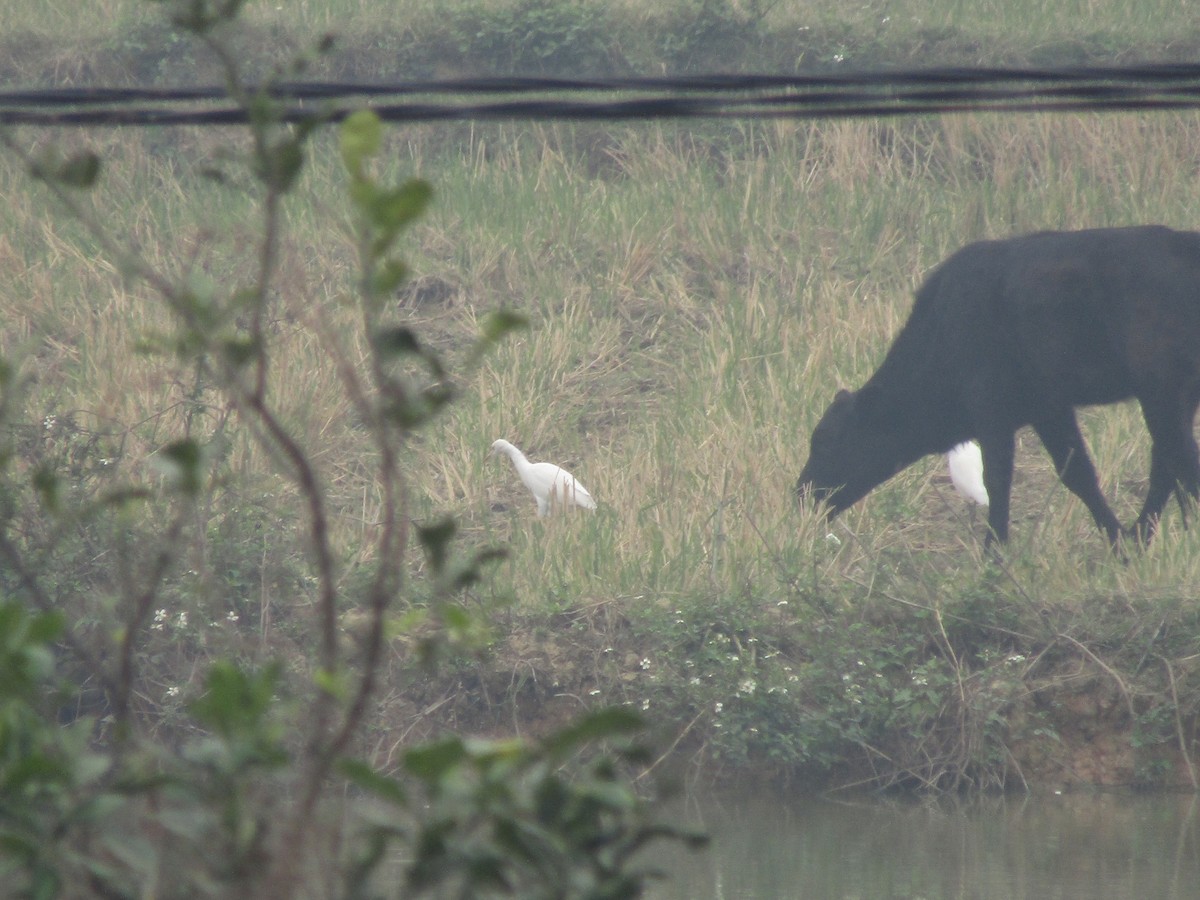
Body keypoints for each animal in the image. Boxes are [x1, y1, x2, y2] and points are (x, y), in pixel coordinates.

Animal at [795, 225, 1200, 548]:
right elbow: (1078, 474)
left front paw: (994, 552)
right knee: (1168, 463)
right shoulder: (1049, 409)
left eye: (825, 441)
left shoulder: (991, 411)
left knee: (1179, 459)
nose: (802, 494)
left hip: (1162, 393)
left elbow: (998, 479)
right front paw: (1121, 542)